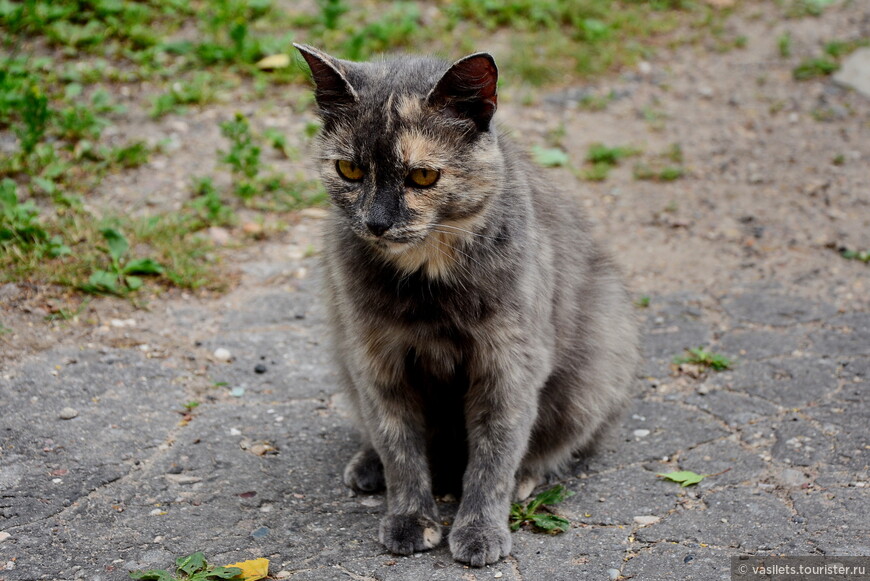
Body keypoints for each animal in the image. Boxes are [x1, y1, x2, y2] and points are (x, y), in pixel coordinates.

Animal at [294, 44, 640, 568]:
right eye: (348, 170)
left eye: (423, 175)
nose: (376, 222)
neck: (427, 287)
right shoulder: (376, 363)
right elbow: (399, 447)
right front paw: (409, 519)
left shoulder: (508, 366)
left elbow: (493, 456)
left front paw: (479, 530)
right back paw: (368, 465)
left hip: (598, 358)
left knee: (556, 444)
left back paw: (524, 478)